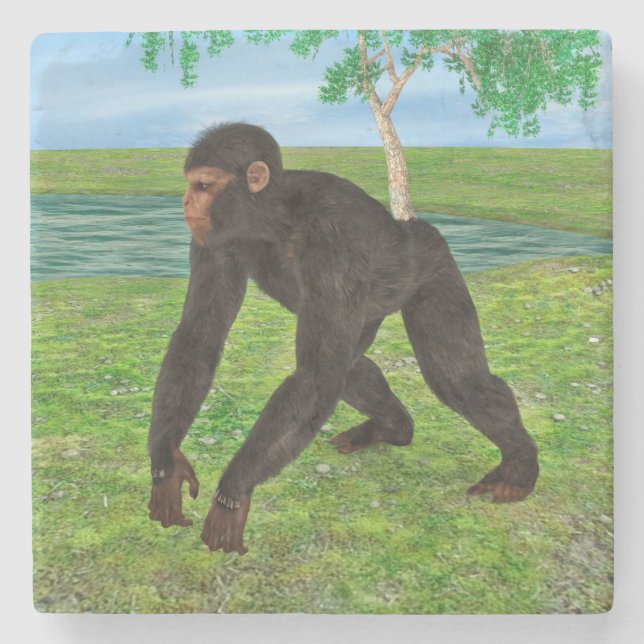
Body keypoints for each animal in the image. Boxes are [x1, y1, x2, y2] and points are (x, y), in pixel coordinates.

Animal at [147, 122, 539, 555]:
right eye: (192, 184)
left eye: (203, 184)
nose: (185, 200)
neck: (272, 218)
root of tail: (414, 225)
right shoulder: (211, 242)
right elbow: (199, 338)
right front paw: (166, 466)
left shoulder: (335, 243)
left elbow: (314, 377)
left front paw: (233, 492)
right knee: (350, 368)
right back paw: (393, 427)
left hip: (434, 265)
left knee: (457, 379)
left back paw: (519, 466)